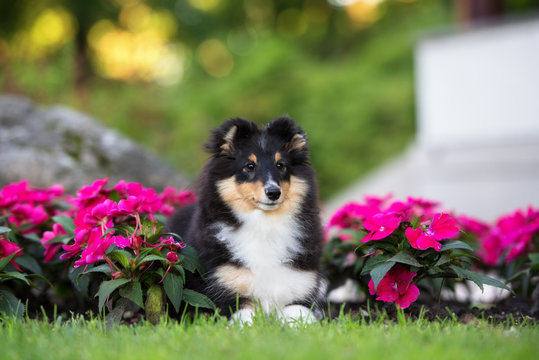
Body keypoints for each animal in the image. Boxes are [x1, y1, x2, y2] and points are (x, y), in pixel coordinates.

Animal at [169, 116, 330, 324]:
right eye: (250, 166)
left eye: (281, 165)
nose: (273, 192)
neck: (265, 225)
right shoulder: (226, 293)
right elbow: (246, 320)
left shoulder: (300, 288)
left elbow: (298, 316)